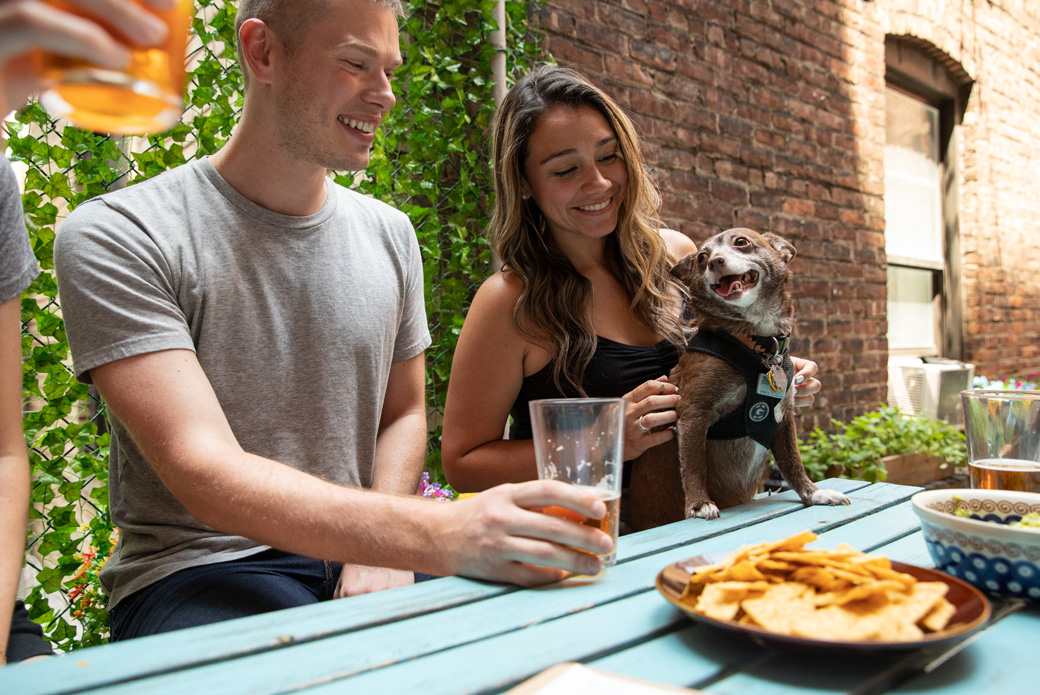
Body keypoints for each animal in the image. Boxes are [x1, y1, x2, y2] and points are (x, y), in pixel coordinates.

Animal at [624, 228, 844, 532]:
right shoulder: (693, 412)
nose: (715, 261)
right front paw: (699, 504)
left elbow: (793, 461)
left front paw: (813, 493)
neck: (755, 342)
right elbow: (694, 463)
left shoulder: (783, 417)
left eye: (741, 242)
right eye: (701, 258)